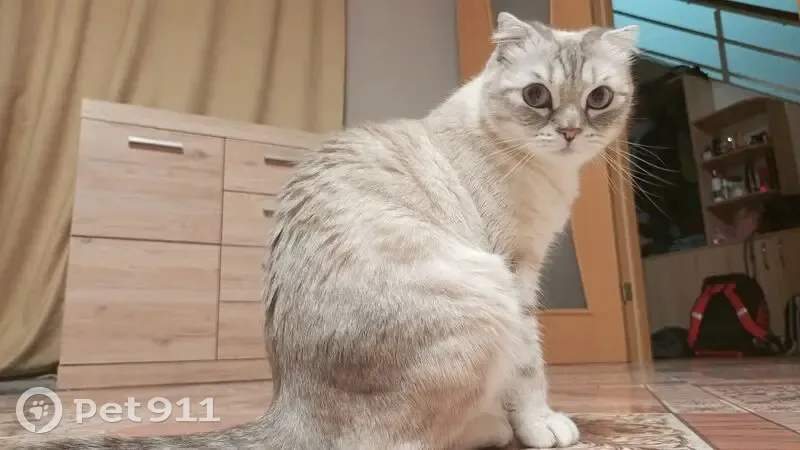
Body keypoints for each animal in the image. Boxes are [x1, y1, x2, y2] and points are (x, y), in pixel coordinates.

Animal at [20, 12, 637, 450]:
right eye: (537, 96)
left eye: (598, 98)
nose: (570, 132)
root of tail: (288, 404)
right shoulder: (515, 272)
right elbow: (530, 368)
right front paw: (541, 426)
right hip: (485, 293)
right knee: (404, 442)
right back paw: (490, 430)